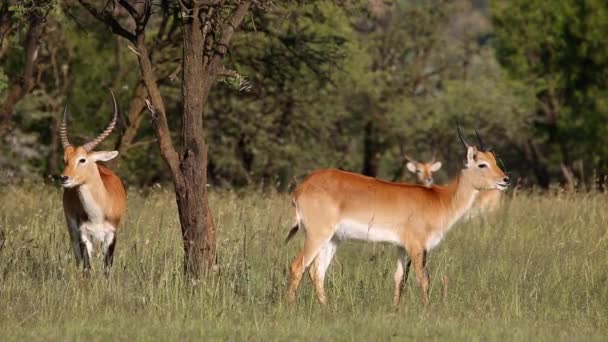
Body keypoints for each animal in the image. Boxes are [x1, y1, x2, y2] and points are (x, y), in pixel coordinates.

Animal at [58, 90, 126, 272]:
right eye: (65, 159)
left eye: (82, 159)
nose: (64, 178)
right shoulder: (83, 234)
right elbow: (87, 267)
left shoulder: (111, 234)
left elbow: (107, 267)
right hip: (72, 231)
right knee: (78, 258)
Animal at [284, 125, 508, 304]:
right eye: (482, 164)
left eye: (494, 160)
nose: (505, 179)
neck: (440, 199)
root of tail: (301, 188)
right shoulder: (417, 246)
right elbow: (423, 280)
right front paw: (425, 311)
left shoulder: (401, 247)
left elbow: (399, 279)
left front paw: (395, 310)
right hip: (317, 235)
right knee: (297, 267)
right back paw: (291, 308)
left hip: (333, 239)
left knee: (317, 272)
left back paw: (328, 309)